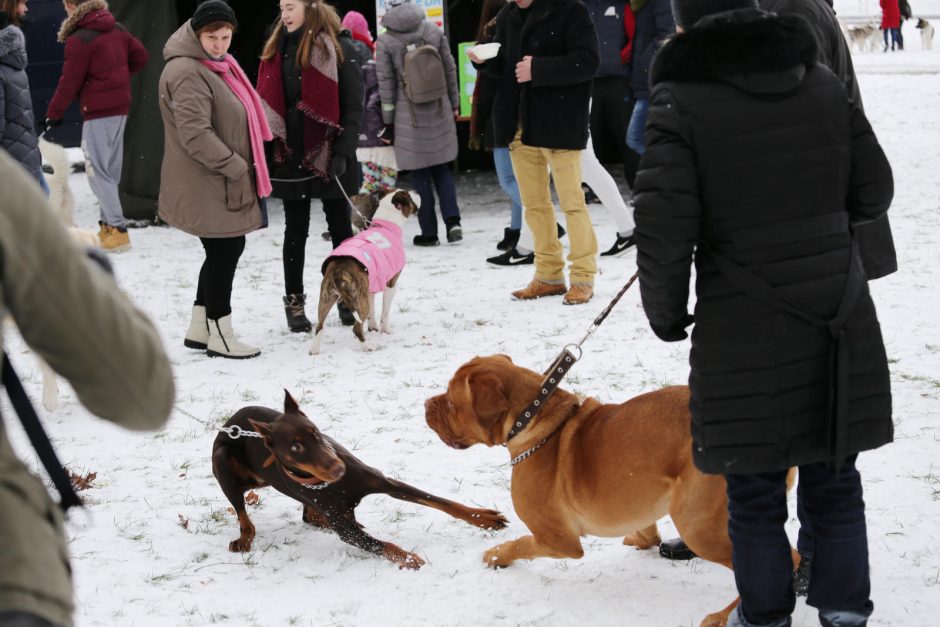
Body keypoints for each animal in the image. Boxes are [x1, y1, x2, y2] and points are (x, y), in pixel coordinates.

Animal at [312, 188, 418, 354]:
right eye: (409, 196)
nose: (415, 190)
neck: (385, 226)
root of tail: (338, 272)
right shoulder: (391, 284)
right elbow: (385, 311)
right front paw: (385, 330)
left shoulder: (370, 287)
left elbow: (373, 311)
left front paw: (373, 327)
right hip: (359, 302)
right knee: (356, 328)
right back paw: (367, 346)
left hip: (327, 298)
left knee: (319, 325)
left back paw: (314, 350)